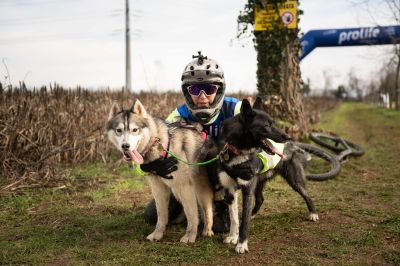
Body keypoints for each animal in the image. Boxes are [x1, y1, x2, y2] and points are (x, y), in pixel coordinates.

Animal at [203, 97, 318, 254]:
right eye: (267, 125)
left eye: (273, 123)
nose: (287, 136)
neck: (238, 150)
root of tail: (293, 145)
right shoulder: (230, 191)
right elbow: (234, 219)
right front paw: (233, 236)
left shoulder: (247, 190)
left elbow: (244, 223)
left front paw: (241, 244)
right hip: (259, 183)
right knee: (260, 199)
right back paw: (252, 214)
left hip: (294, 181)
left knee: (306, 195)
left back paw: (313, 213)